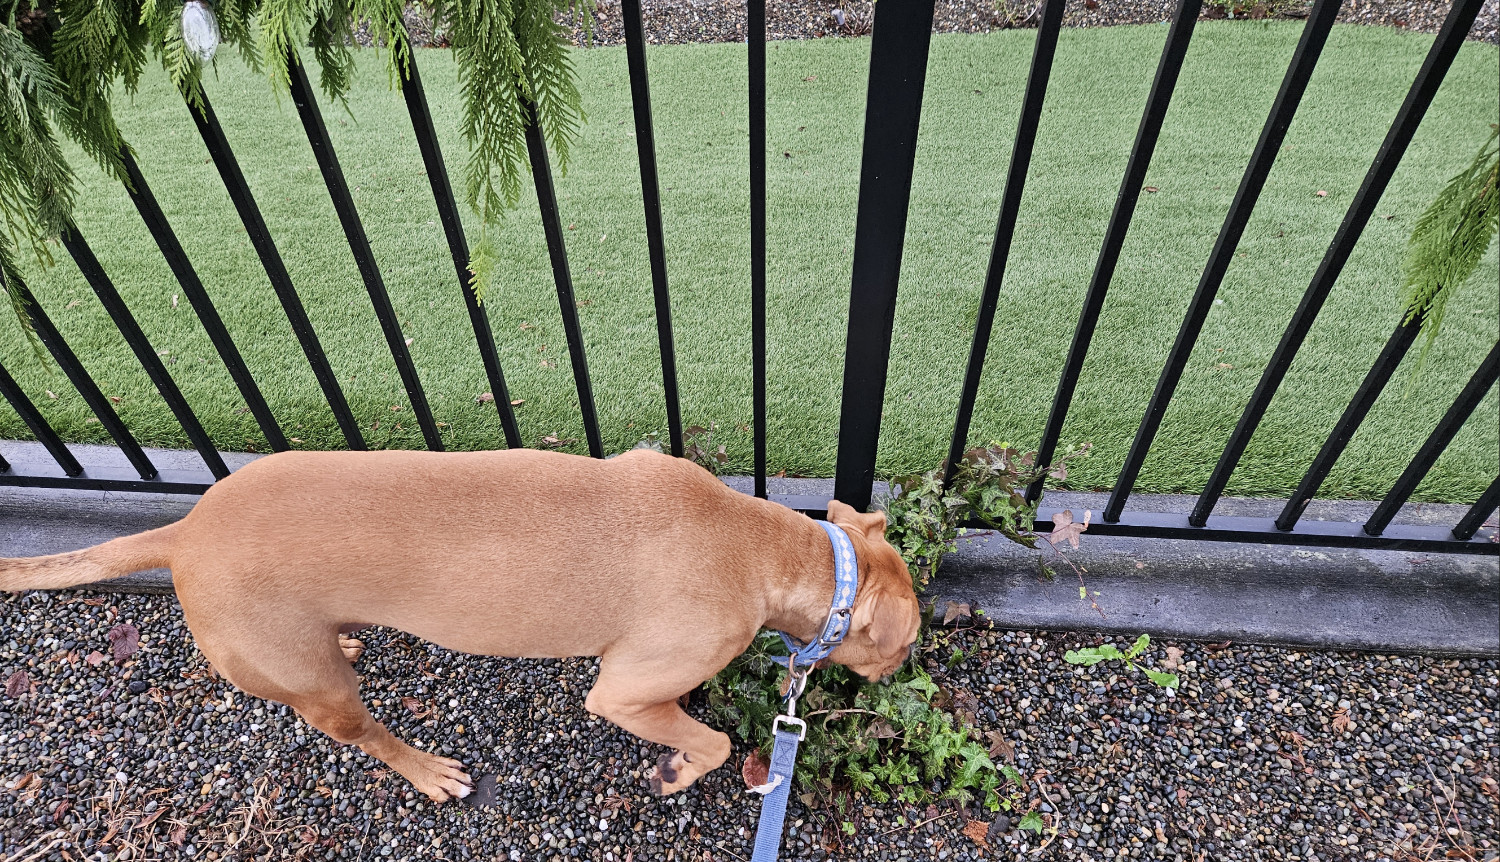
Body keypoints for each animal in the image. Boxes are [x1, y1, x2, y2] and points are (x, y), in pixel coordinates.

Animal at [0, 452, 918, 803]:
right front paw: (680, 770)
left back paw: (347, 636)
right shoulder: (623, 692)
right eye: (903, 644)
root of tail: (184, 532)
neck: (760, 545)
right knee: (364, 731)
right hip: (323, 695)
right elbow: (717, 743)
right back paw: (427, 771)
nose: (906, 673)